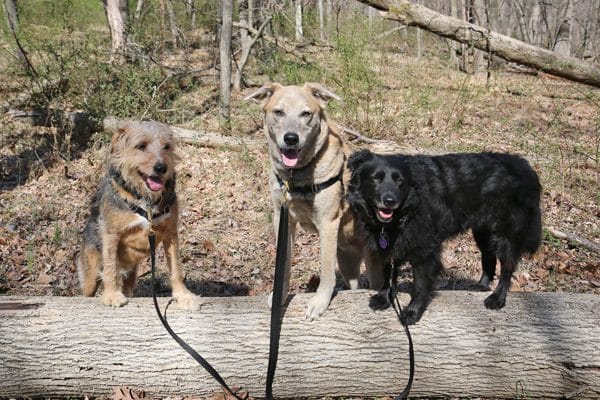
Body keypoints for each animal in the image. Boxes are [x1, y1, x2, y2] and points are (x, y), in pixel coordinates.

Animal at [76, 121, 199, 310]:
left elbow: (176, 267)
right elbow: (110, 267)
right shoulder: (111, 234)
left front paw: (183, 296)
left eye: (166, 146)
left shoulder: (171, 233)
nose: (161, 168)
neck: (146, 201)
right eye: (141, 146)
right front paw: (111, 295)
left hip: (131, 276)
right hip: (90, 272)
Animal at [245, 83, 368, 320]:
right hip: (348, 260)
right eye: (278, 112)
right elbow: (283, 264)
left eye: (306, 113)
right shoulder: (282, 217)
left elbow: (326, 269)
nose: (291, 138)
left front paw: (320, 302)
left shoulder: (328, 223)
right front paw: (280, 295)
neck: (296, 177)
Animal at [344, 150, 540, 324]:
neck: (403, 214)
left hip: (506, 232)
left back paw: (497, 298)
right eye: (375, 178)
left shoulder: (425, 250)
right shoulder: (387, 245)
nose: (390, 201)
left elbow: (420, 284)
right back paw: (481, 286)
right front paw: (384, 298)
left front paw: (412, 312)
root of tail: (524, 166)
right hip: (482, 230)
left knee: (507, 266)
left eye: (400, 181)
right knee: (488, 256)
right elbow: (387, 274)